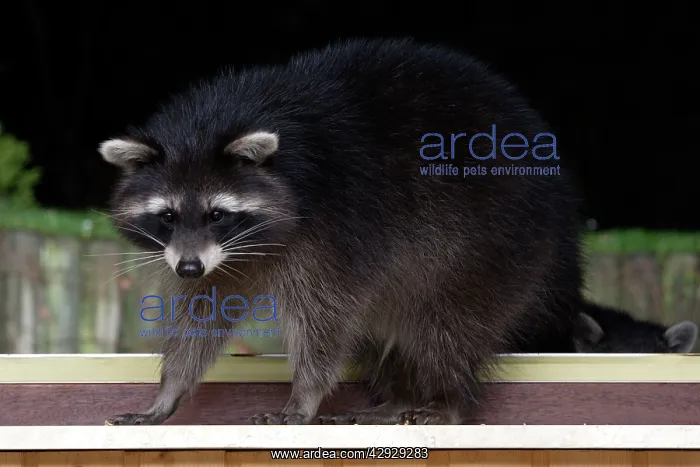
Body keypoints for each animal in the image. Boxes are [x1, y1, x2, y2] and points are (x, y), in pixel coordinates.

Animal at [98, 38, 583, 426]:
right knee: (387, 327)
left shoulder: (335, 228)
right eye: (167, 216)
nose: (188, 267)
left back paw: (450, 398)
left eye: (217, 214)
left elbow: (324, 320)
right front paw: (170, 389)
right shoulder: (212, 258)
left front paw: (305, 395)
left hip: (494, 243)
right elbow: (199, 314)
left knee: (446, 328)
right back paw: (397, 396)